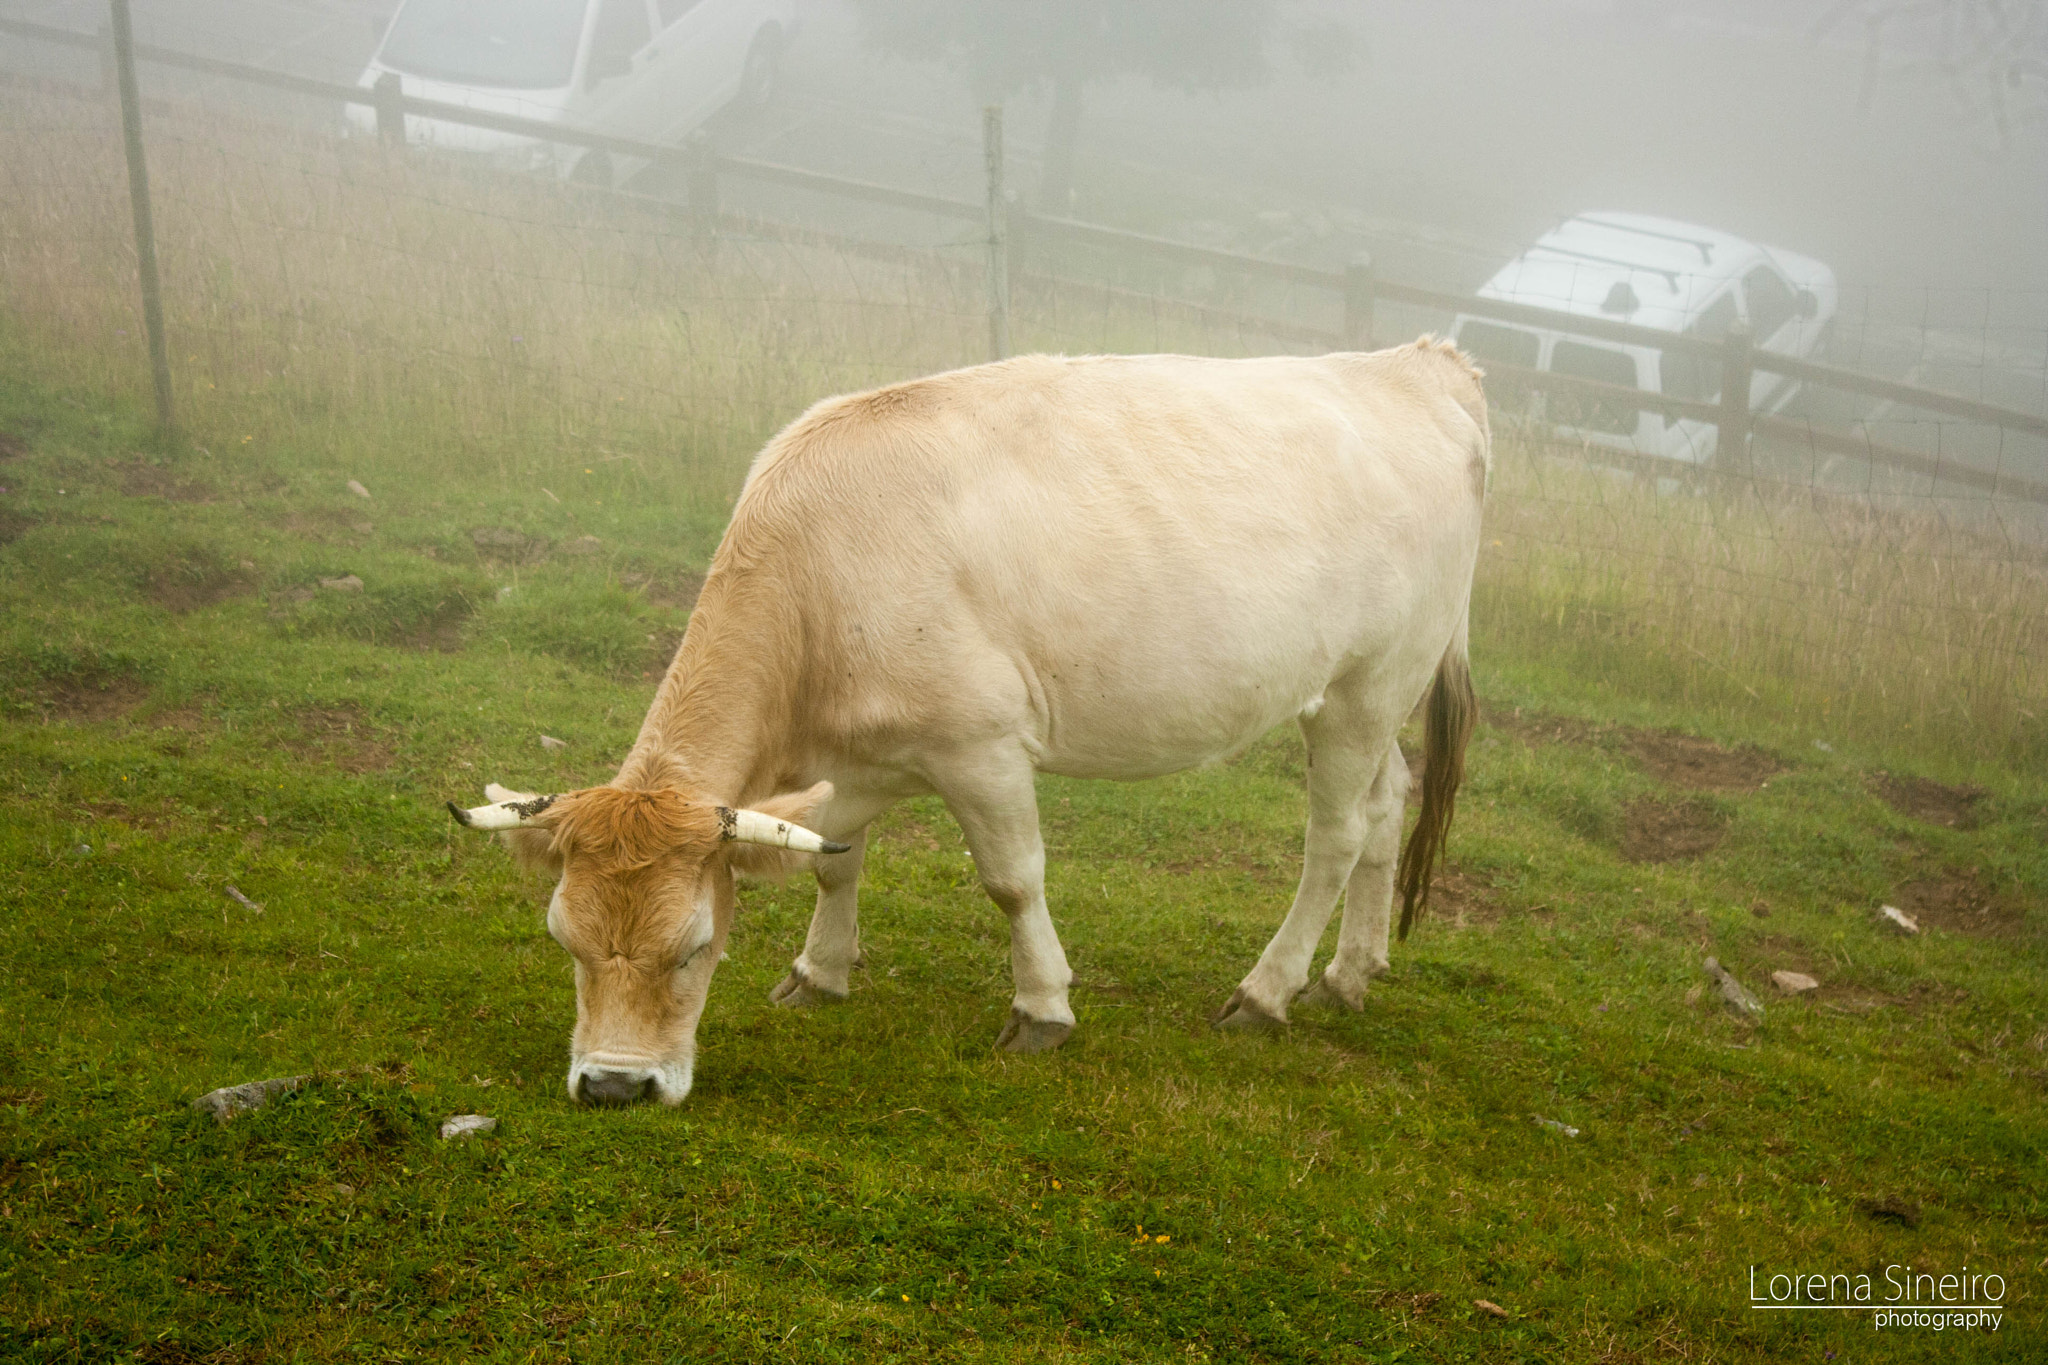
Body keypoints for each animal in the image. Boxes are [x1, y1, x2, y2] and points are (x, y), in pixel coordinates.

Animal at [452, 343, 1490, 1113]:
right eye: (566, 940)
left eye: (696, 944)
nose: (611, 1086)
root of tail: (1420, 361)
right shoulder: (850, 758)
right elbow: (835, 860)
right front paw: (821, 971)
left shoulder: (981, 744)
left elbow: (1011, 879)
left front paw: (1042, 1009)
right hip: (1368, 693)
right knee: (1387, 804)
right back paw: (1350, 972)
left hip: (1369, 682)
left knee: (1334, 835)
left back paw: (1267, 992)